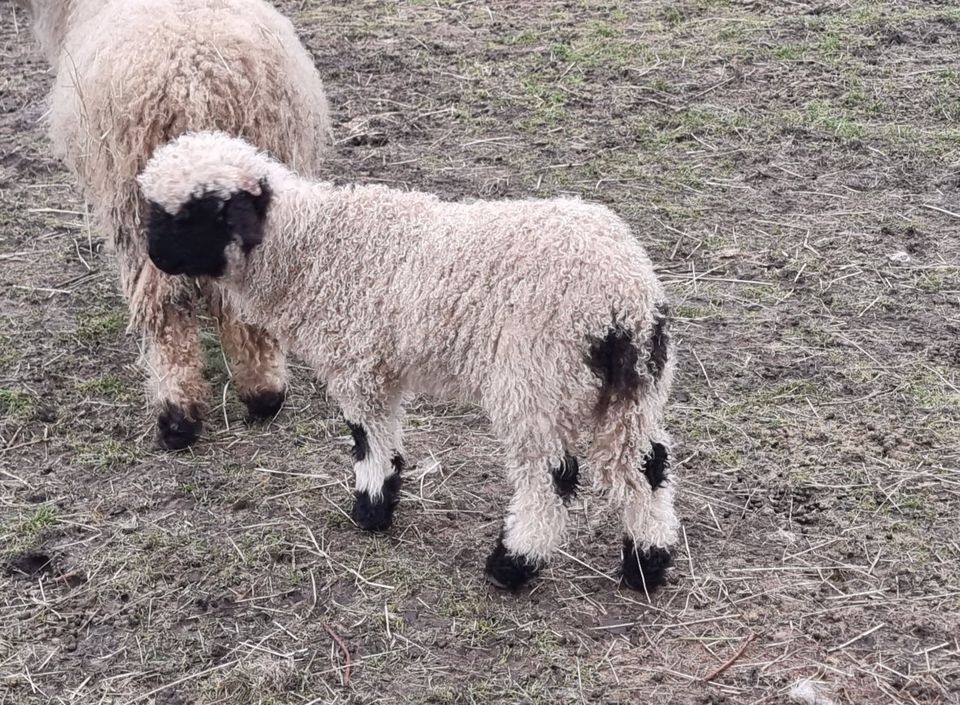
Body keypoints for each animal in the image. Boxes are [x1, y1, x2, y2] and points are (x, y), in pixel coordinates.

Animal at [139, 133, 680, 592]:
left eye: (197, 215)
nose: (156, 259)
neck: (309, 250)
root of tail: (622, 301)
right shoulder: (380, 366)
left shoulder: (357, 363)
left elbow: (369, 441)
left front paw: (372, 510)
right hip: (633, 390)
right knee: (645, 464)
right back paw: (646, 564)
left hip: (537, 379)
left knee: (550, 477)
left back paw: (513, 564)